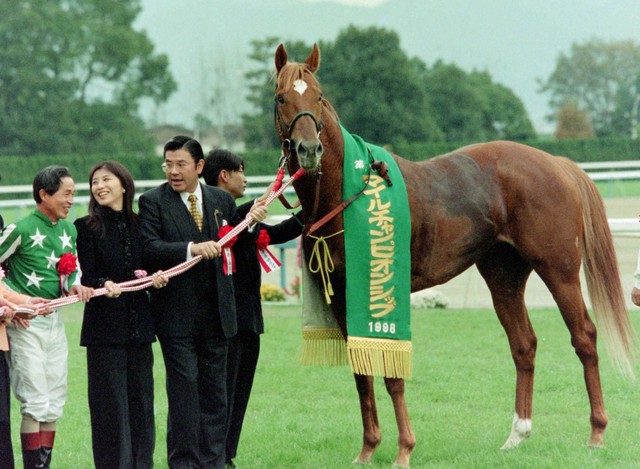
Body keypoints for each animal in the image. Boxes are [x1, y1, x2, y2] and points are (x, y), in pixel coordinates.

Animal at [272, 43, 636, 464]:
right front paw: (367, 449)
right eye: (282, 97)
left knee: (584, 337)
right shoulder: (345, 301)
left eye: (318, 95)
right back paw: (517, 434)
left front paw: (404, 450)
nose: (309, 150)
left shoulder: (384, 296)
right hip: (504, 277)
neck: (351, 191)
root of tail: (556, 164)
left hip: (558, 270)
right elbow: (362, 373)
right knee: (524, 344)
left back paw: (596, 432)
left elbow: (392, 374)